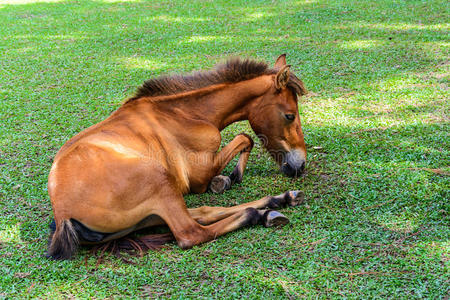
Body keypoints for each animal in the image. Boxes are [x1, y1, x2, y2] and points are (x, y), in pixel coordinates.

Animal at [47, 52, 308, 258]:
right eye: (290, 115)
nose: (301, 165)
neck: (182, 114)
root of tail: (63, 216)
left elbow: (245, 139)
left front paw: (228, 178)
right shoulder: (199, 175)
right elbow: (245, 138)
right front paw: (230, 177)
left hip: (156, 208)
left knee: (203, 213)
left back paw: (279, 200)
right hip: (159, 180)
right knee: (192, 232)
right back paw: (261, 213)